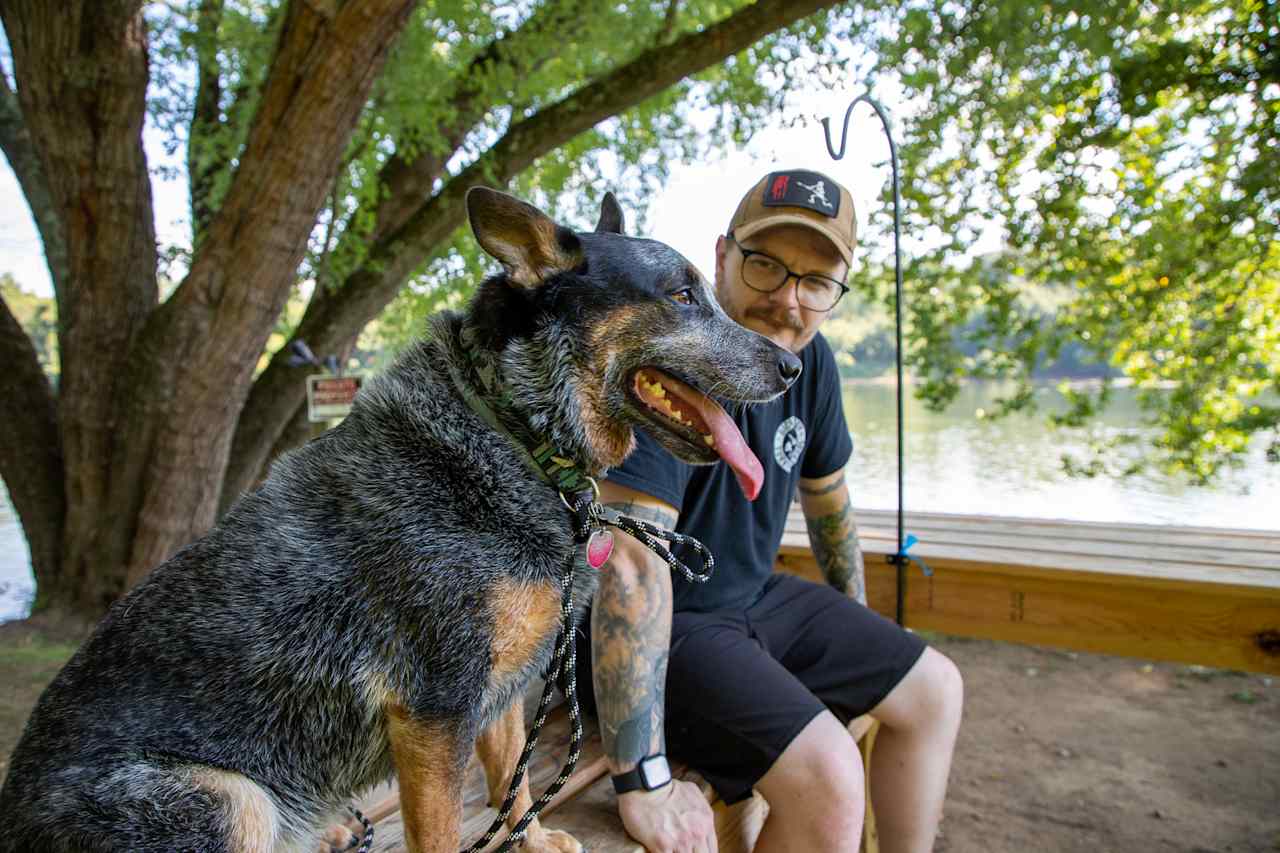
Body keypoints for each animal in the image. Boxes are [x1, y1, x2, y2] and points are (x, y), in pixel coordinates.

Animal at [0, 188, 798, 850]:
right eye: (682, 294)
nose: (792, 366)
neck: (512, 430)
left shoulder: (499, 688)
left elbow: (515, 784)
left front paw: (536, 841)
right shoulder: (435, 710)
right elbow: (444, 833)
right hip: (229, 799)